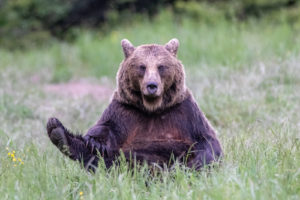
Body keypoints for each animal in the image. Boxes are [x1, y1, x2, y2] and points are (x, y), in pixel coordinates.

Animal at [45, 38, 221, 170]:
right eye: (142, 66)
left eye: (161, 66)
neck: (152, 108)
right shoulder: (124, 111)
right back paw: (58, 133)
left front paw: (194, 164)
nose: (151, 85)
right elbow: (105, 128)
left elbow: (207, 141)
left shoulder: (184, 111)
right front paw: (96, 141)